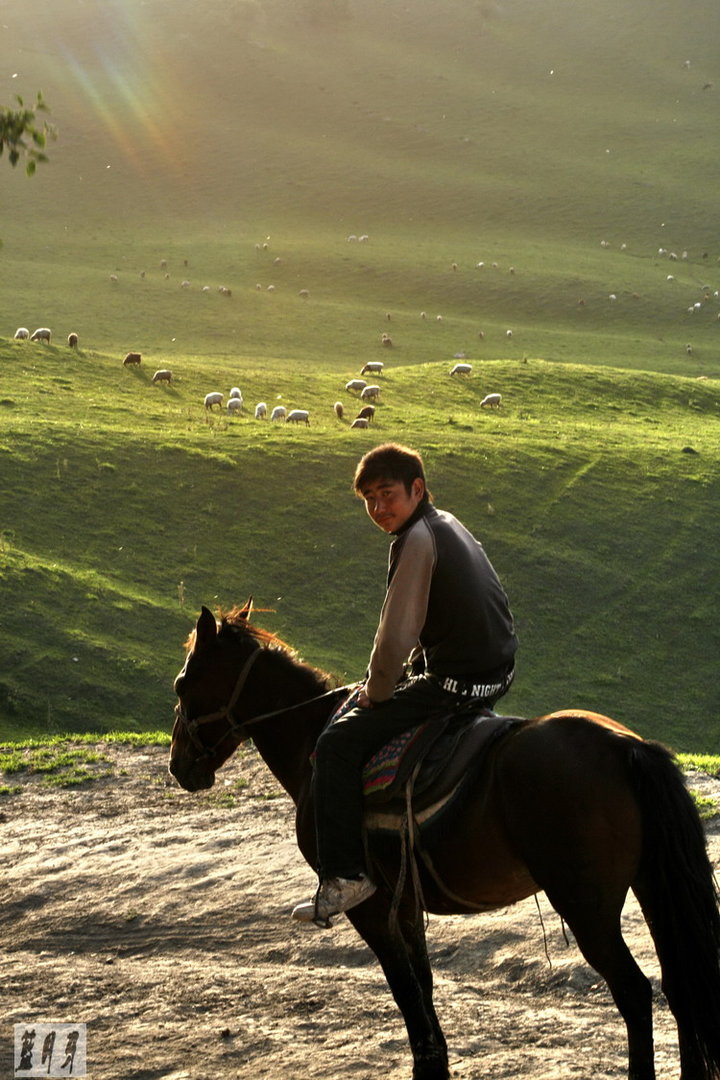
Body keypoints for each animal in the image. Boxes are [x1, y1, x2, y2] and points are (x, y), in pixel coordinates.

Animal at [167, 604, 720, 1075]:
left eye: (181, 684)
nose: (179, 766)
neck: (313, 741)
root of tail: (625, 746)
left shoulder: (368, 904)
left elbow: (403, 985)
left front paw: (426, 1060)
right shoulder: (404, 901)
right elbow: (423, 980)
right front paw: (436, 1057)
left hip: (587, 906)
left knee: (635, 993)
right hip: (651, 887)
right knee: (680, 985)